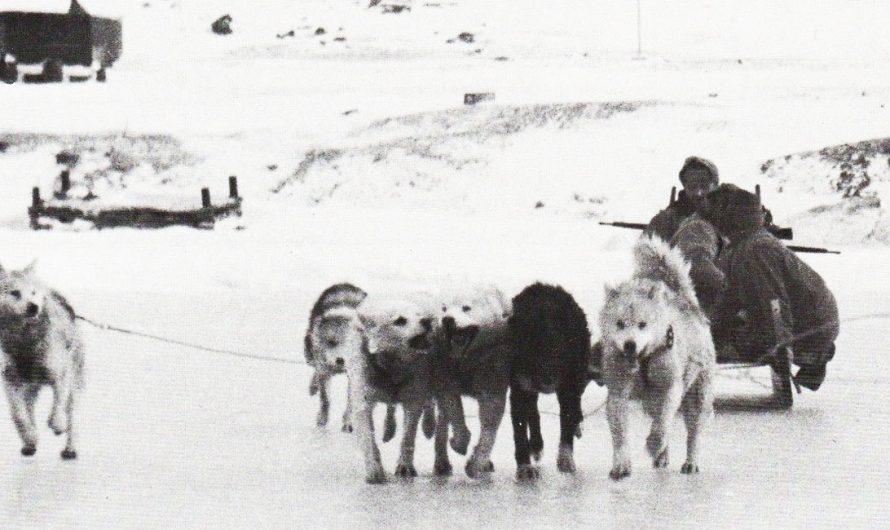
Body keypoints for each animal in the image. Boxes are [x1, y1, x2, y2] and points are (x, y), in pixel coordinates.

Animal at [0, 262, 84, 456]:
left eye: (33, 292)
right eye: (15, 292)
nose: (33, 307)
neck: (25, 340)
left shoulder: (61, 374)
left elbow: (58, 404)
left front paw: (57, 424)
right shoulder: (10, 380)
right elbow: (18, 414)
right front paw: (29, 436)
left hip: (74, 382)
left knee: (72, 414)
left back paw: (70, 448)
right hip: (29, 388)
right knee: (28, 408)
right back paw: (29, 443)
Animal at [428, 284, 506, 478]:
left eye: (466, 307)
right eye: (444, 308)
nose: (448, 320)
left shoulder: (492, 365)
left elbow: (491, 414)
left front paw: (476, 464)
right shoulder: (446, 365)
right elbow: (451, 402)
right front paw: (460, 443)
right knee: (443, 415)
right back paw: (442, 463)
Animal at [506, 284, 588, 478]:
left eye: (560, 348)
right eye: (531, 349)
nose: (548, 380)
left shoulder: (568, 384)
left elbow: (566, 420)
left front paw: (565, 458)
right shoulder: (520, 387)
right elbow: (520, 430)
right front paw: (524, 466)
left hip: (579, 373)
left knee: (576, 404)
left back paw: (577, 423)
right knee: (533, 412)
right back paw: (536, 445)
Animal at [596, 236, 716, 478]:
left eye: (643, 324)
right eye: (620, 323)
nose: (630, 345)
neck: (644, 360)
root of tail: (686, 301)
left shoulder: (670, 388)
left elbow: (662, 424)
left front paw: (653, 444)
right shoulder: (618, 392)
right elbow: (620, 433)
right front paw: (621, 464)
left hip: (697, 393)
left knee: (692, 431)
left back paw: (690, 461)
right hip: (652, 400)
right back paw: (662, 456)